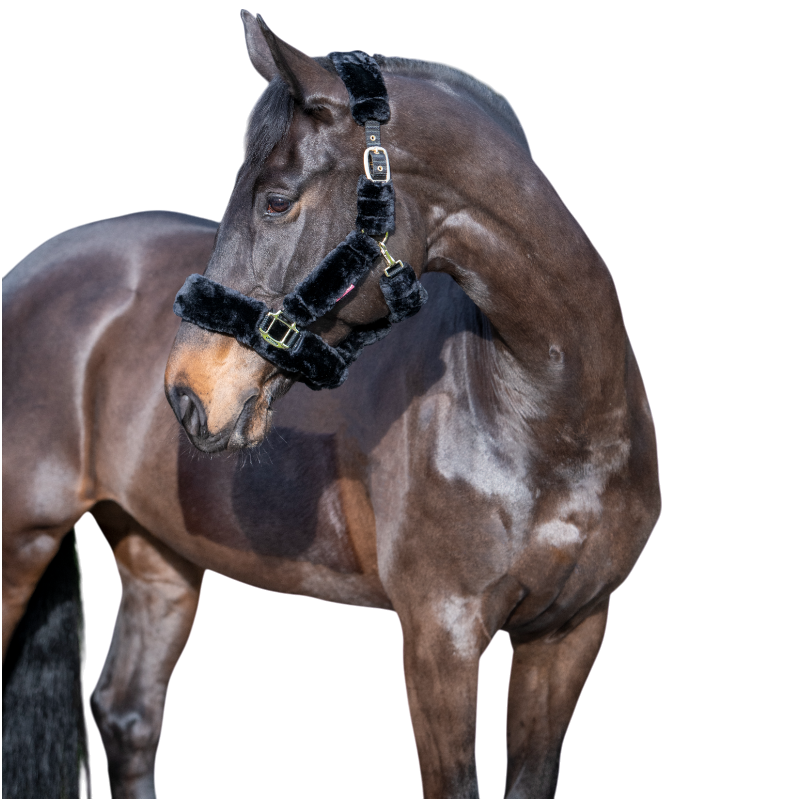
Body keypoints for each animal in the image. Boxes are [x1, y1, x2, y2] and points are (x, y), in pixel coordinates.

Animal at [2, 10, 661, 798]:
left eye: (278, 199)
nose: (188, 393)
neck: (552, 419)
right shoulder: (440, 635)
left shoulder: (568, 632)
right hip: (20, 541)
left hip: (159, 554)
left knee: (128, 713)